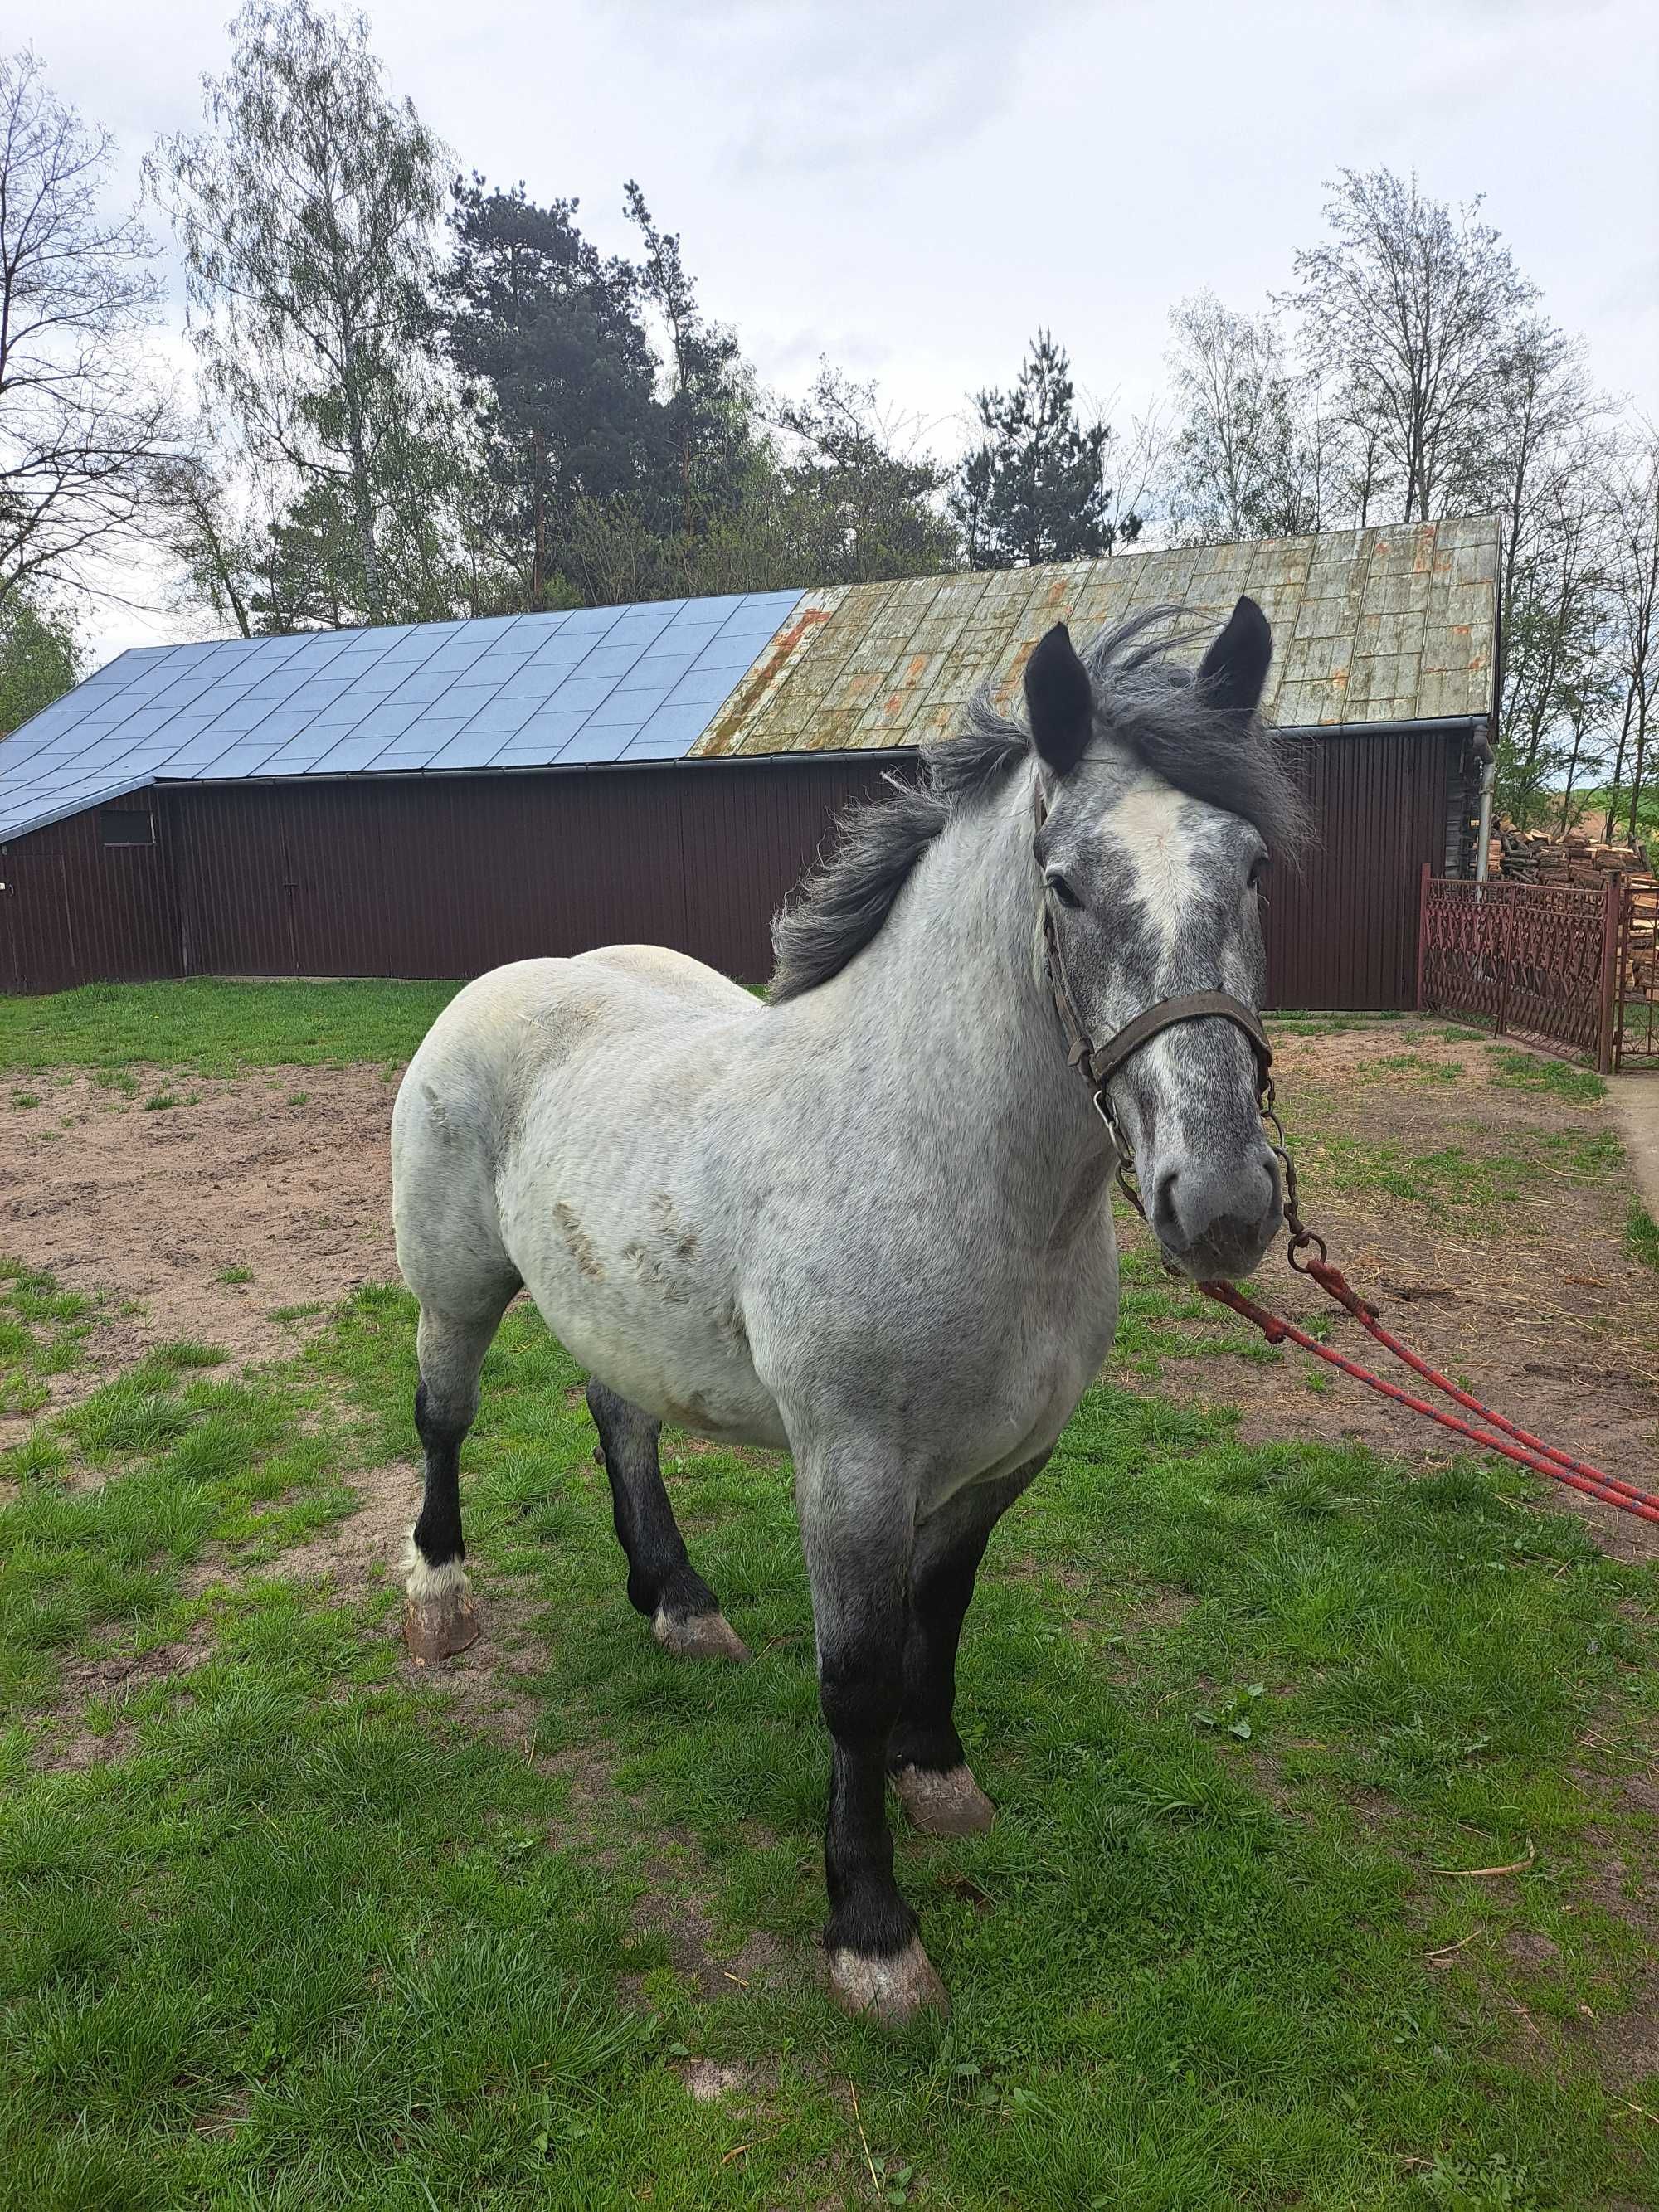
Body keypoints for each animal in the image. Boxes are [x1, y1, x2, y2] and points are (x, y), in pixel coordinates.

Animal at [396, 601, 1309, 2025]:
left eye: (1254, 866)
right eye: (1066, 885)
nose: (1219, 1203)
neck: (945, 1162)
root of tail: (504, 983)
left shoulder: (1000, 1462)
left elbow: (942, 1616)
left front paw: (939, 1776)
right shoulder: (853, 1468)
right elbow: (854, 1679)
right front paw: (871, 1927)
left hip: (618, 1310)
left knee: (622, 1418)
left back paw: (678, 1600)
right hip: (453, 1282)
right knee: (443, 1416)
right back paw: (441, 1594)